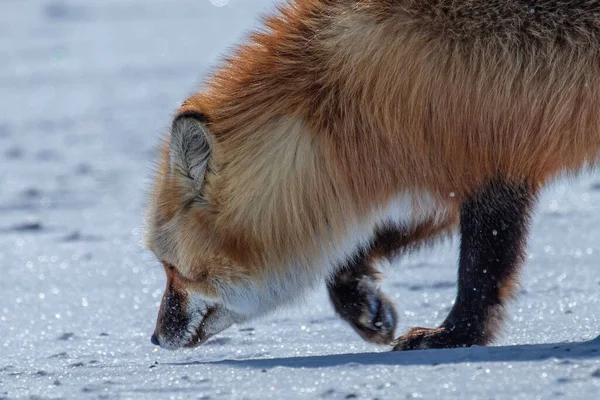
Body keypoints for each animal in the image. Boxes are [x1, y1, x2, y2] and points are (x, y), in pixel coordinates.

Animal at [145, 0, 600, 350]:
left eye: (173, 268)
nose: (154, 338)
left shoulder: (488, 164)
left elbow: (481, 270)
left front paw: (456, 335)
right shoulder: (453, 169)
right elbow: (359, 248)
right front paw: (363, 304)